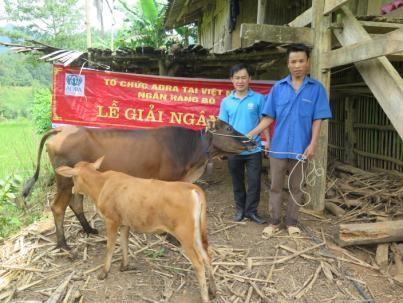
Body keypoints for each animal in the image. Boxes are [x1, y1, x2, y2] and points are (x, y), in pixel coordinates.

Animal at [23, 120, 258, 249]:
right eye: (228, 127)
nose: (252, 141)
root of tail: (63, 130)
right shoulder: (170, 179)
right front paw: (170, 237)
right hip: (63, 180)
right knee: (58, 207)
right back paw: (64, 246)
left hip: (76, 179)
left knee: (76, 203)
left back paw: (89, 230)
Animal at [56, 159, 218, 303]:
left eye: (73, 178)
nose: (73, 189)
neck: (101, 185)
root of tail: (192, 188)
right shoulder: (124, 223)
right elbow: (124, 243)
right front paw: (124, 266)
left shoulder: (111, 221)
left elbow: (110, 247)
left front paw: (104, 272)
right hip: (196, 234)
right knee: (207, 255)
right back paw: (213, 290)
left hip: (185, 235)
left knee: (199, 264)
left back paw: (205, 297)